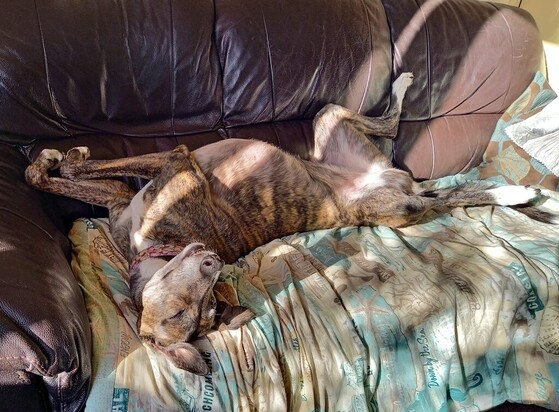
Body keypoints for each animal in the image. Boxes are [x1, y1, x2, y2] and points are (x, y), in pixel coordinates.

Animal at [25, 73, 552, 375]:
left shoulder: (174, 162)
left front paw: (63, 156)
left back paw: (514, 191)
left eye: (199, 308)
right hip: (348, 145)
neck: (151, 248)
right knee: (413, 157)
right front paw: (56, 161)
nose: (211, 260)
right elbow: (59, 179)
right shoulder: (124, 199)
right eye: (182, 314)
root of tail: (396, 181)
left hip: (383, 190)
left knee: (436, 173)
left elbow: (72, 172)